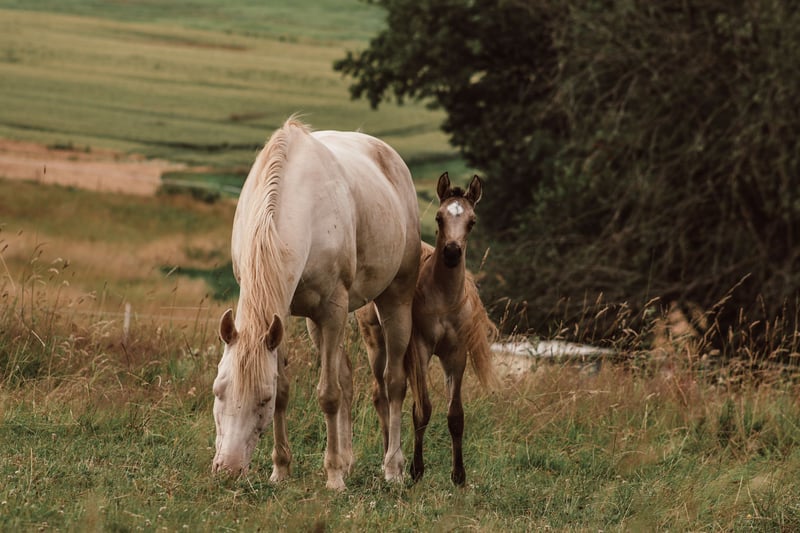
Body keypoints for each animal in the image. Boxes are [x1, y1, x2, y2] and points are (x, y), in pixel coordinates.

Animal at [212, 117, 420, 490]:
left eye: (261, 399)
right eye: (218, 391)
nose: (229, 470)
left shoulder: (333, 309)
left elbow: (328, 394)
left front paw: (334, 477)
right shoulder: (280, 318)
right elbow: (289, 389)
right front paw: (280, 470)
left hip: (395, 297)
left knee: (394, 382)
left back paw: (392, 469)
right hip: (314, 321)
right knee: (347, 377)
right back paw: (349, 460)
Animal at [357, 172, 498, 486]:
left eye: (472, 221)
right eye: (438, 217)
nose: (452, 252)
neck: (442, 298)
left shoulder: (456, 355)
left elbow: (455, 415)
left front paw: (459, 476)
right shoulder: (419, 350)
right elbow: (422, 410)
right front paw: (416, 470)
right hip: (375, 341)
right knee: (381, 394)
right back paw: (388, 458)